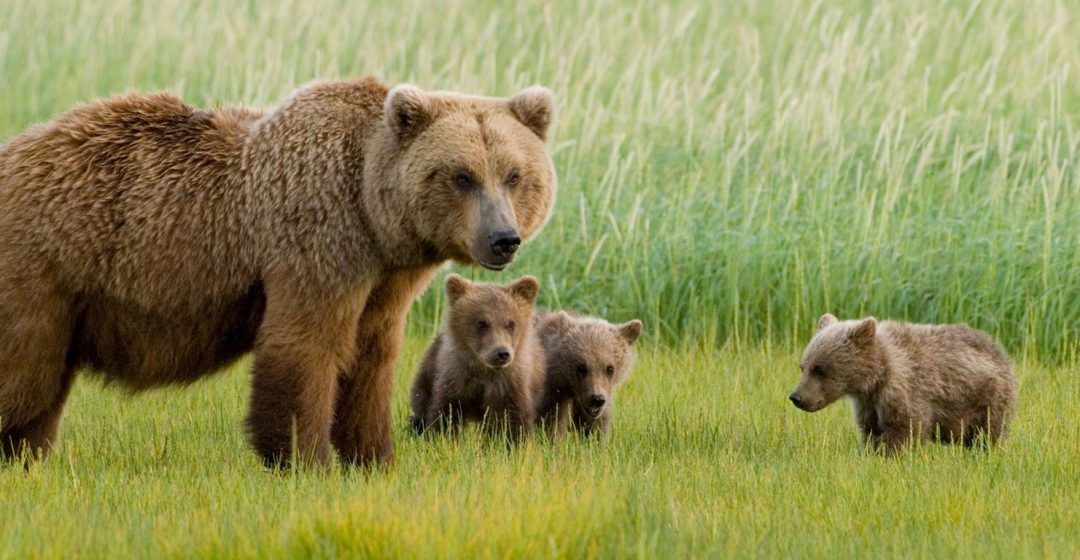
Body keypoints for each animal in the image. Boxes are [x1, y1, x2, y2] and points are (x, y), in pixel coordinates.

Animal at [0, 76, 557, 466]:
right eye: (462, 175)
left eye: (514, 175)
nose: (503, 239)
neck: (370, 212)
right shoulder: (316, 239)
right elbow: (306, 345)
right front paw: (303, 458)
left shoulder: (383, 281)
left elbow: (371, 358)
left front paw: (372, 456)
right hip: (43, 265)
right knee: (24, 371)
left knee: (42, 386)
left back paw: (28, 456)